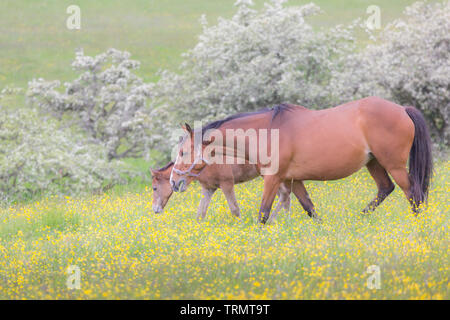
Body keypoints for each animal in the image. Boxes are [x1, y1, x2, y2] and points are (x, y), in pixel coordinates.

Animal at [151, 161, 292, 221]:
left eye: (154, 188)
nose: (155, 209)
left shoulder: (227, 184)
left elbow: (235, 209)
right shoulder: (208, 188)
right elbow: (200, 213)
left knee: (285, 195)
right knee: (285, 196)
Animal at [170, 96, 432, 224]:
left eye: (183, 152)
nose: (174, 182)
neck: (267, 131)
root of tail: (402, 109)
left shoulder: (273, 179)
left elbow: (263, 214)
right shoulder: (292, 180)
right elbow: (309, 208)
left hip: (394, 165)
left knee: (413, 194)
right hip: (374, 163)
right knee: (385, 189)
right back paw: (359, 218)